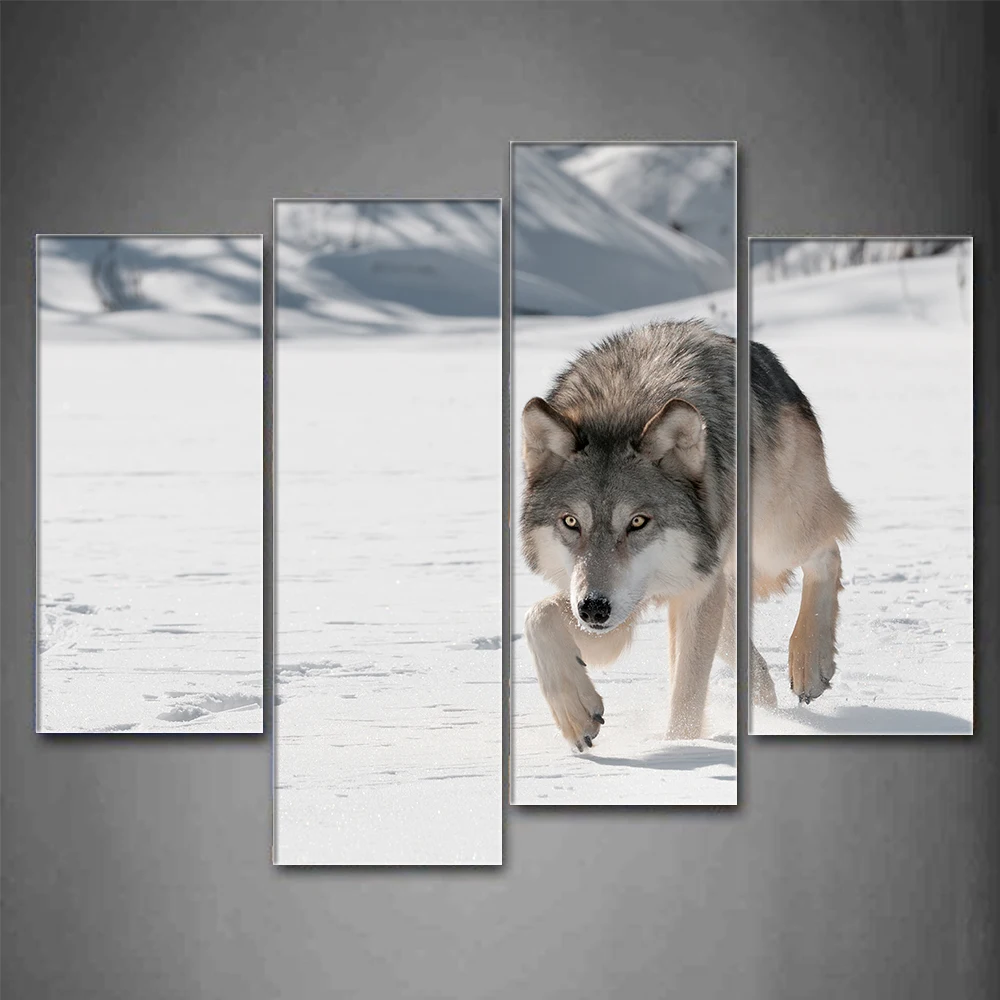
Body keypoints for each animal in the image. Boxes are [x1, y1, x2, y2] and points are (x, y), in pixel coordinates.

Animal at [520, 319, 853, 750]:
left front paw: (681, 747)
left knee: (829, 549)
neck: (620, 407)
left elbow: (688, 692)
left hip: (774, 540)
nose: (593, 608)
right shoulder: (618, 610)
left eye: (638, 522)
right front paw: (576, 714)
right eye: (571, 522)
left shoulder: (691, 589)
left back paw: (809, 665)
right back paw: (766, 703)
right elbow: (538, 616)